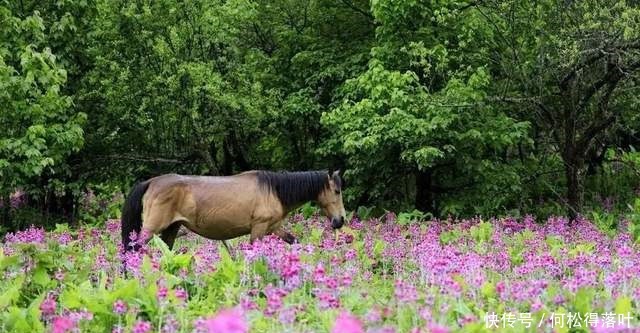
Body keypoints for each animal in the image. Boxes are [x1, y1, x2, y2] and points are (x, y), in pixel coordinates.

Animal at [119, 170, 344, 253]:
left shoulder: (274, 228)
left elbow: (294, 241)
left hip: (171, 229)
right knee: (132, 249)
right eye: (337, 190)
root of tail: (151, 182)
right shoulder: (259, 228)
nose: (340, 220)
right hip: (151, 229)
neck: (273, 190)